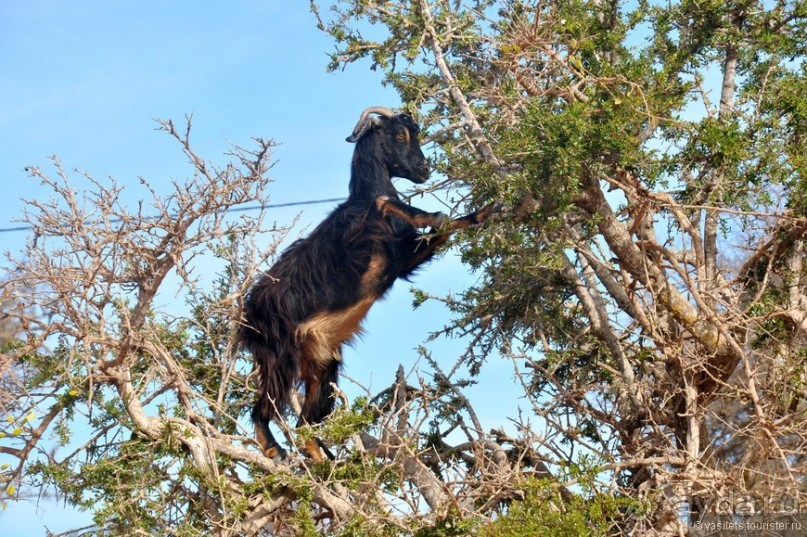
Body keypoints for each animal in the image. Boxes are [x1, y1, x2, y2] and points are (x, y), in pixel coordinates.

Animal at [237, 105, 496, 460]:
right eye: (399, 135)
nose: (424, 169)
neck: (360, 200)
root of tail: (246, 317)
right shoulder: (360, 247)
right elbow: (386, 202)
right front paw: (431, 213)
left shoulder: (402, 261)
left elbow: (448, 228)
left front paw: (491, 209)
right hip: (278, 354)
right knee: (263, 410)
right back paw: (276, 451)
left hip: (320, 362)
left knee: (305, 424)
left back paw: (326, 463)